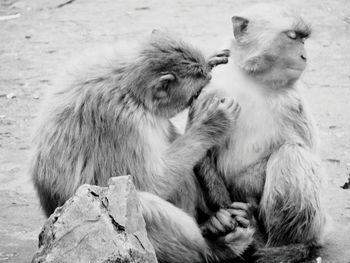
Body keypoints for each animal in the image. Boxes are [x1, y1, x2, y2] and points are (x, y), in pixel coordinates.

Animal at [30, 32, 254, 262]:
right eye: (195, 95)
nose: (199, 99)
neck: (127, 87)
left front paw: (209, 60)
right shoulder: (123, 123)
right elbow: (148, 183)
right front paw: (210, 121)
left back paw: (214, 224)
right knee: (138, 202)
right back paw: (216, 249)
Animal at [187, 6, 330, 263]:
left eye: (302, 39)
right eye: (292, 37)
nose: (304, 56)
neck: (250, 78)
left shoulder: (292, 102)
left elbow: (303, 147)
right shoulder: (211, 90)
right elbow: (201, 147)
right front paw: (223, 219)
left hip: (318, 225)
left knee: (291, 154)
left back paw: (280, 243)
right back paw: (214, 223)